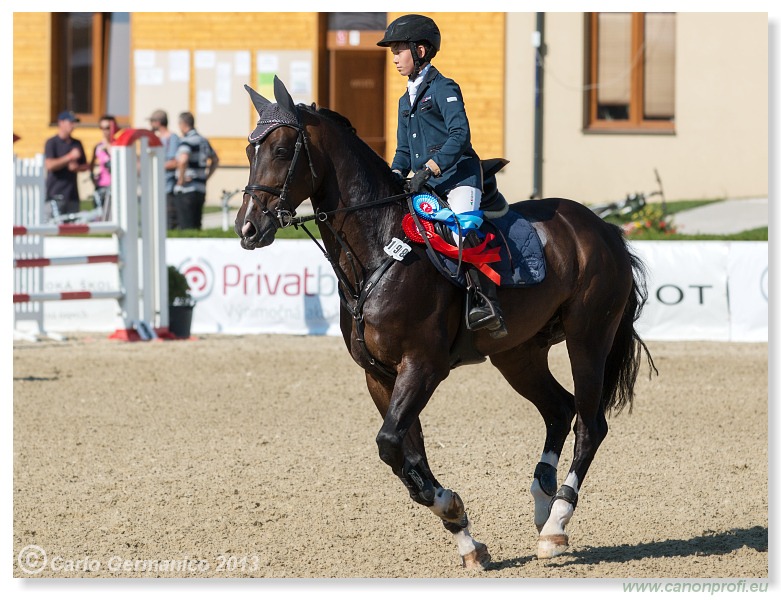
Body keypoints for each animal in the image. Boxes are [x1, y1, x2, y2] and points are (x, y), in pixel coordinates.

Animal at [233, 78, 652, 568]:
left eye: (282, 151)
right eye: (249, 150)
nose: (247, 229)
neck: (378, 248)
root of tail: (605, 229)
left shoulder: (423, 365)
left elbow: (391, 443)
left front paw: (453, 510)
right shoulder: (379, 375)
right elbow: (404, 452)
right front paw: (464, 535)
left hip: (588, 339)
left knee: (590, 424)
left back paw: (556, 523)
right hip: (518, 354)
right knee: (559, 409)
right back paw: (542, 499)